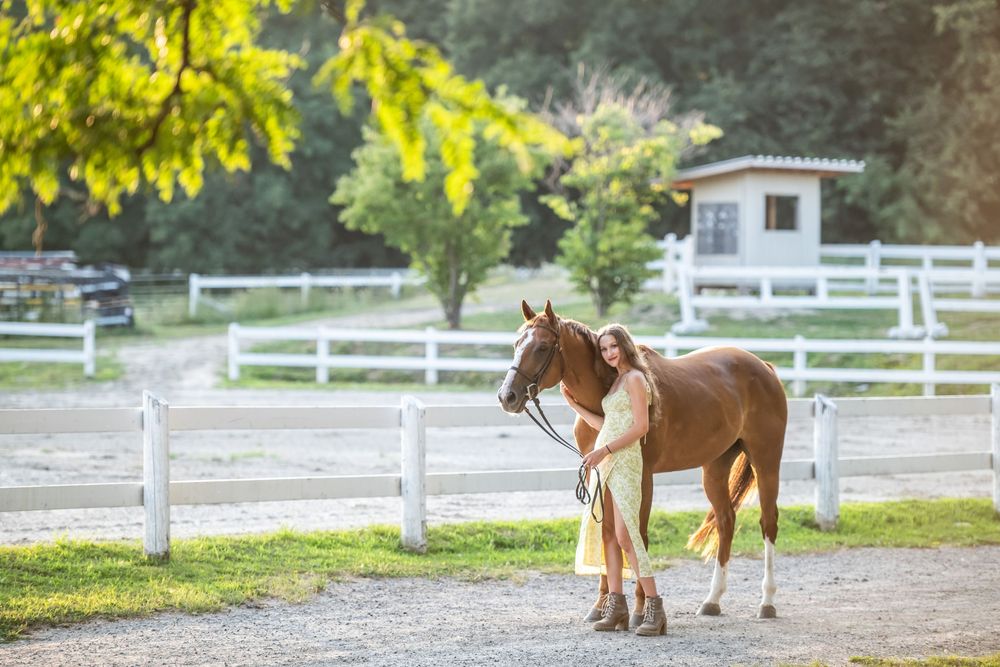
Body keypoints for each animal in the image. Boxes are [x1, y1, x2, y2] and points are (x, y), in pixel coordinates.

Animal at [497, 300, 788, 626]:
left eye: (543, 347)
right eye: (517, 344)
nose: (507, 396)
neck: (607, 393)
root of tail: (764, 366)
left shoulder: (643, 476)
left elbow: (639, 536)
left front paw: (639, 611)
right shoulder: (599, 474)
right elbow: (607, 535)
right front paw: (602, 607)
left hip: (766, 460)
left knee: (768, 522)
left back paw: (767, 602)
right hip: (714, 467)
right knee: (726, 521)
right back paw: (712, 600)